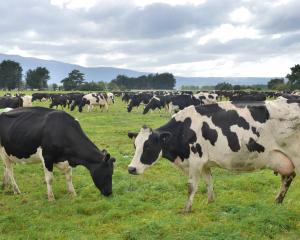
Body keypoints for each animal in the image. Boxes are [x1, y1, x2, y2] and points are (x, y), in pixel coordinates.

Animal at [127, 96, 300, 213]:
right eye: (135, 146)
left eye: (148, 147)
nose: (131, 169)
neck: (184, 130)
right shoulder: (204, 163)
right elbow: (209, 181)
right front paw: (210, 202)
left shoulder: (195, 161)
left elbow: (191, 186)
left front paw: (186, 209)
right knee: (287, 178)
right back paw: (277, 202)